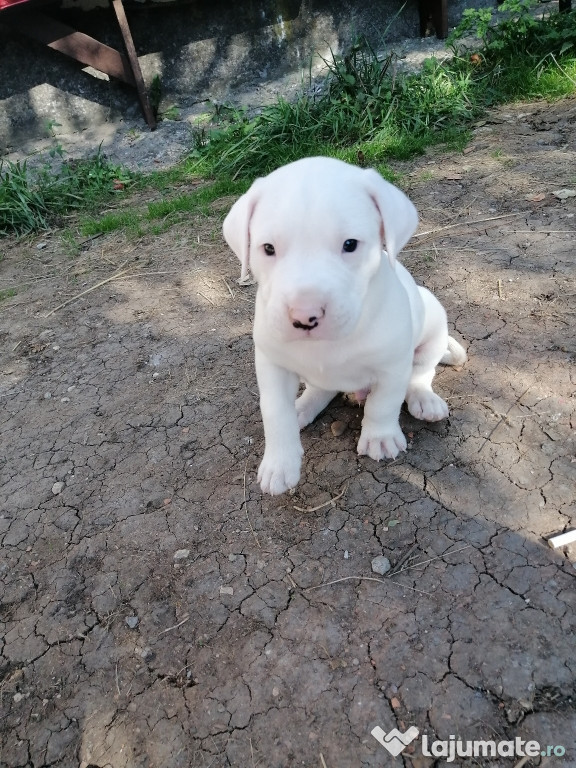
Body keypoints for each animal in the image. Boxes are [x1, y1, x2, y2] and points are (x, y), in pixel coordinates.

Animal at [223, 156, 466, 496]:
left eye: (350, 244)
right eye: (268, 248)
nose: (305, 316)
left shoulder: (392, 366)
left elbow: (384, 402)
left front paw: (380, 438)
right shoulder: (272, 365)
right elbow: (275, 413)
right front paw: (279, 464)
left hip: (433, 323)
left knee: (420, 374)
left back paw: (424, 399)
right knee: (320, 390)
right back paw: (302, 406)